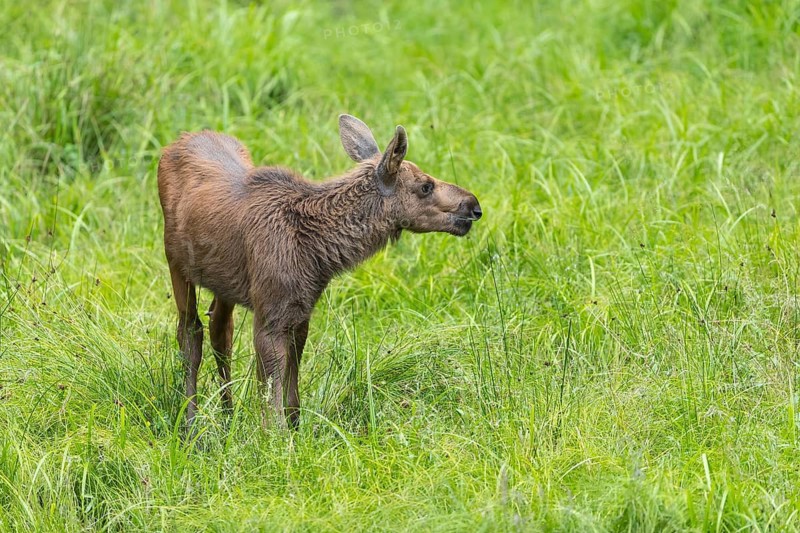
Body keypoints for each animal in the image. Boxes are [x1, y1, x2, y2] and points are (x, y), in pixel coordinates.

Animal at [157, 114, 482, 429]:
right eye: (425, 186)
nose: (473, 205)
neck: (317, 252)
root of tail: (176, 142)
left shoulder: (300, 314)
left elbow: (291, 394)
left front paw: (296, 431)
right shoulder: (270, 315)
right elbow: (270, 401)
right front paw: (273, 439)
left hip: (223, 284)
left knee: (220, 330)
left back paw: (227, 416)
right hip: (176, 262)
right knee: (190, 331)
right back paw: (191, 424)